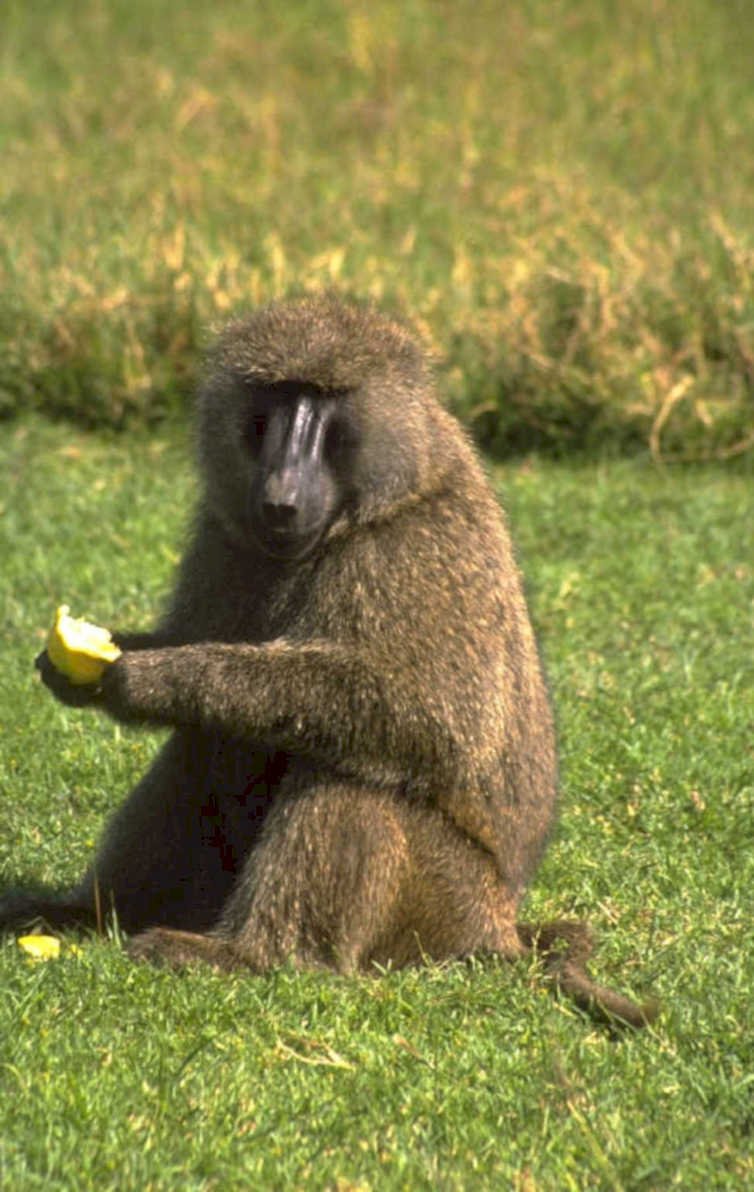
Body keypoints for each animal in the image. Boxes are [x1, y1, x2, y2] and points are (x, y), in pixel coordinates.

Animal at [0, 294, 656, 1028]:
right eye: (274, 404)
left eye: (325, 406)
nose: (282, 497)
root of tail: (502, 921)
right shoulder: (224, 533)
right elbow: (202, 654)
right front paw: (88, 665)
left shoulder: (413, 554)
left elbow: (431, 718)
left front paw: (159, 678)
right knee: (206, 745)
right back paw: (88, 916)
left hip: (443, 906)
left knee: (351, 769)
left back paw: (251, 956)